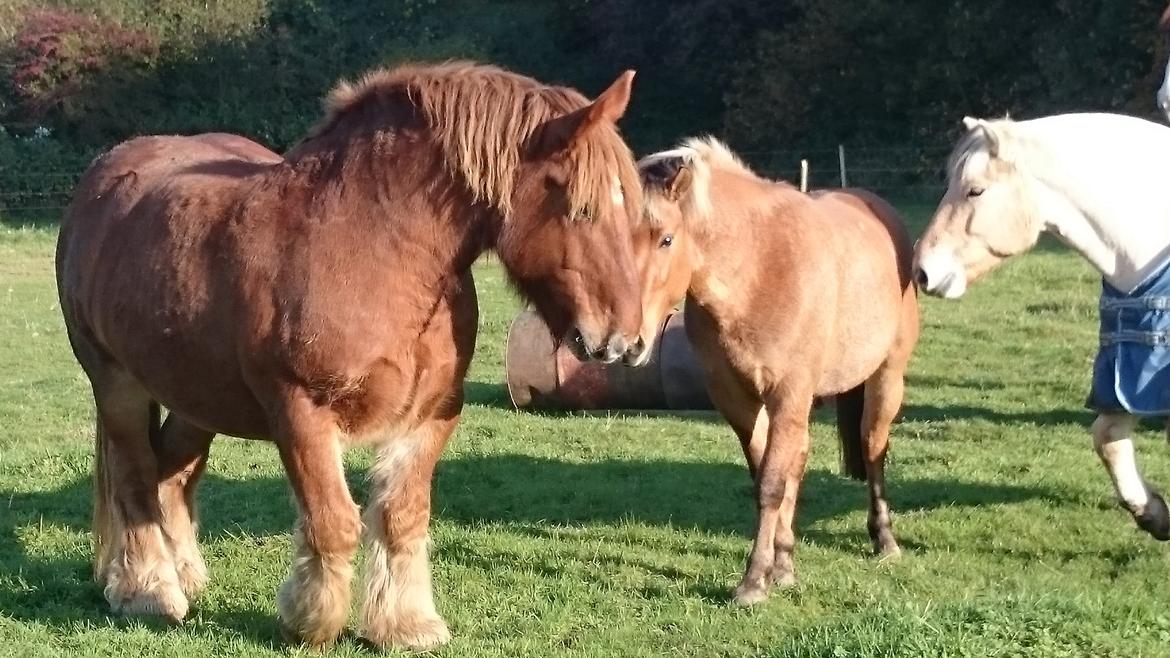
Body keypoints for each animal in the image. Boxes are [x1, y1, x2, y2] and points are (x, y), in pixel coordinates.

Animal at [54, 60, 645, 646]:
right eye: (582, 207)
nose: (627, 340)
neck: (374, 251)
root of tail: (104, 177)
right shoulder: (301, 412)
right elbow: (333, 521)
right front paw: (310, 620)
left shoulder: (431, 413)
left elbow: (403, 516)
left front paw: (405, 624)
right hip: (117, 384)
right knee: (134, 478)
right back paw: (148, 591)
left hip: (197, 397)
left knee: (170, 476)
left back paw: (183, 575)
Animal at [627, 138, 917, 604]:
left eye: (666, 239)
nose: (626, 341)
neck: (759, 268)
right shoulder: (738, 399)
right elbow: (766, 475)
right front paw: (778, 567)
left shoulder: (787, 393)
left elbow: (771, 485)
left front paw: (752, 581)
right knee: (800, 459)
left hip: (886, 377)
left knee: (873, 447)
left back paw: (884, 539)